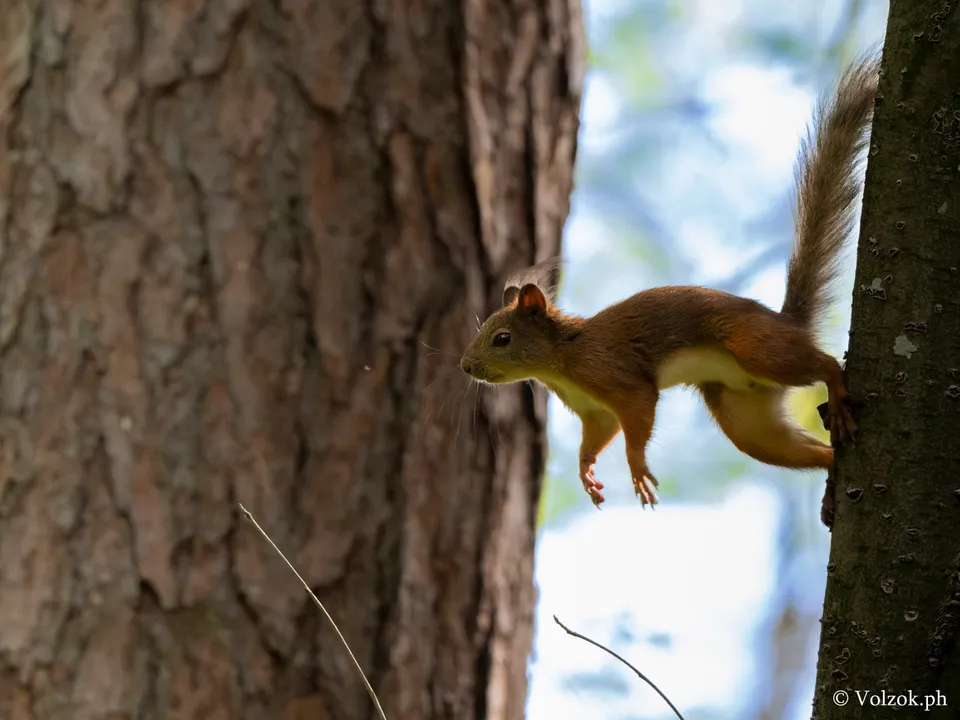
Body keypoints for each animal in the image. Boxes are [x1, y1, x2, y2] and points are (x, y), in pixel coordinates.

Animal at [459, 53, 880, 528]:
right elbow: (598, 437)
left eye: (502, 338)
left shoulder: (620, 380)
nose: (466, 366)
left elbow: (637, 420)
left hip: (758, 349)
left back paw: (837, 394)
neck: (561, 360)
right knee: (808, 451)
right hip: (745, 416)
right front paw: (587, 472)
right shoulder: (594, 412)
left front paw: (637, 470)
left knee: (824, 364)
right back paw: (829, 485)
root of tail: (787, 321)